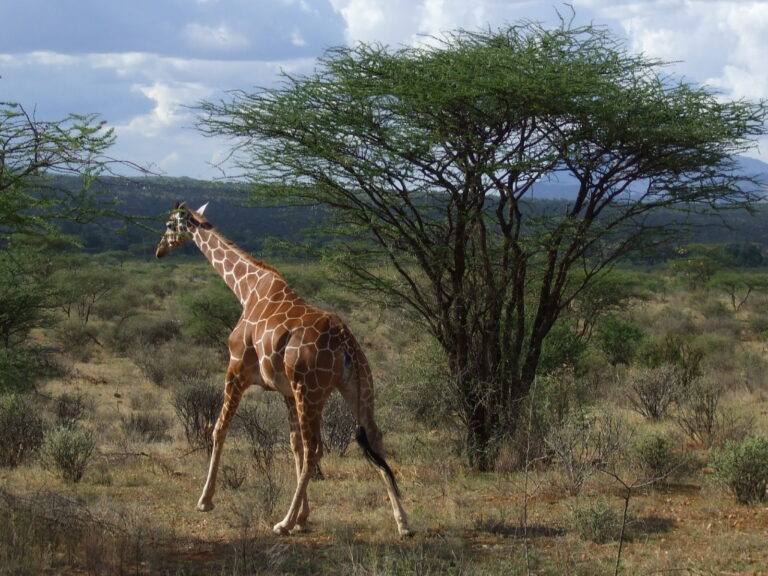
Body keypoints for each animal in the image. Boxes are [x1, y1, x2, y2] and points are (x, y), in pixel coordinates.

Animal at [153, 201, 412, 536]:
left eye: (169, 225)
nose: (159, 250)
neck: (246, 288)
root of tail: (346, 343)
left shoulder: (236, 369)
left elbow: (219, 429)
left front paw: (205, 501)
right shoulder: (286, 391)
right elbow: (293, 446)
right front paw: (304, 517)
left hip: (310, 391)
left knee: (317, 447)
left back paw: (283, 522)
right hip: (356, 388)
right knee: (373, 439)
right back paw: (403, 523)